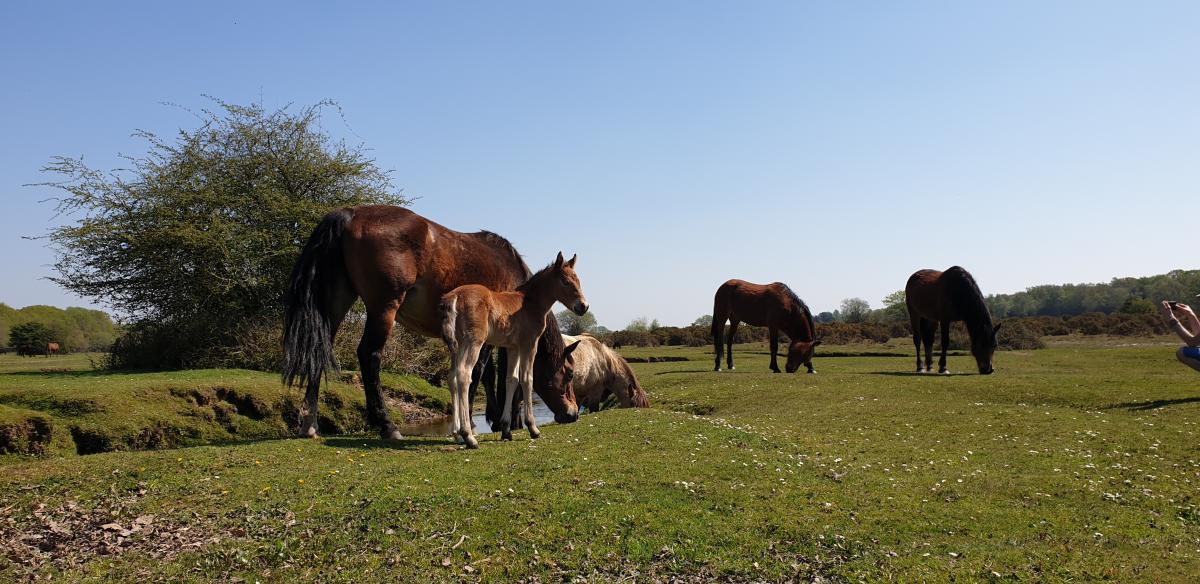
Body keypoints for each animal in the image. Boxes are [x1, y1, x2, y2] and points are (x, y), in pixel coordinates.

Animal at [282, 206, 580, 438]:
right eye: (568, 373)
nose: (574, 413)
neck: (522, 291)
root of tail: (351, 213)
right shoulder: (488, 336)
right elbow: (480, 373)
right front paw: (479, 421)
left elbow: (492, 375)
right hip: (383, 309)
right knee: (369, 355)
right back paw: (387, 425)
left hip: (337, 303)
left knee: (319, 350)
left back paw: (310, 424)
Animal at [441, 251, 590, 448]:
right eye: (565, 281)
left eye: (578, 280)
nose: (583, 306)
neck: (529, 303)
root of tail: (455, 297)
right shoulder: (529, 345)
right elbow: (527, 379)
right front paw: (533, 428)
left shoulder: (513, 348)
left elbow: (511, 380)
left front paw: (506, 430)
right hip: (473, 342)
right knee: (464, 375)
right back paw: (468, 436)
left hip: (456, 346)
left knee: (452, 377)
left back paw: (457, 432)